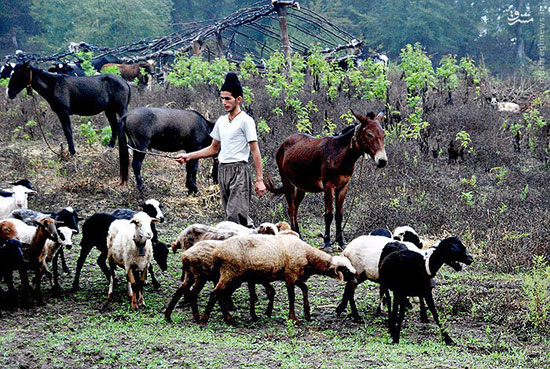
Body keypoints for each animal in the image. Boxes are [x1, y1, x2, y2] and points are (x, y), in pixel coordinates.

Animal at [268, 111, 388, 250]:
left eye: (384, 134)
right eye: (369, 134)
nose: (382, 161)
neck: (342, 155)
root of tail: (285, 142)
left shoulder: (343, 186)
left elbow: (339, 215)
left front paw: (341, 242)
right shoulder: (328, 186)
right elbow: (329, 214)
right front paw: (327, 242)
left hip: (301, 187)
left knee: (295, 208)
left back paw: (298, 234)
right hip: (287, 182)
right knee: (291, 208)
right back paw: (295, 234)